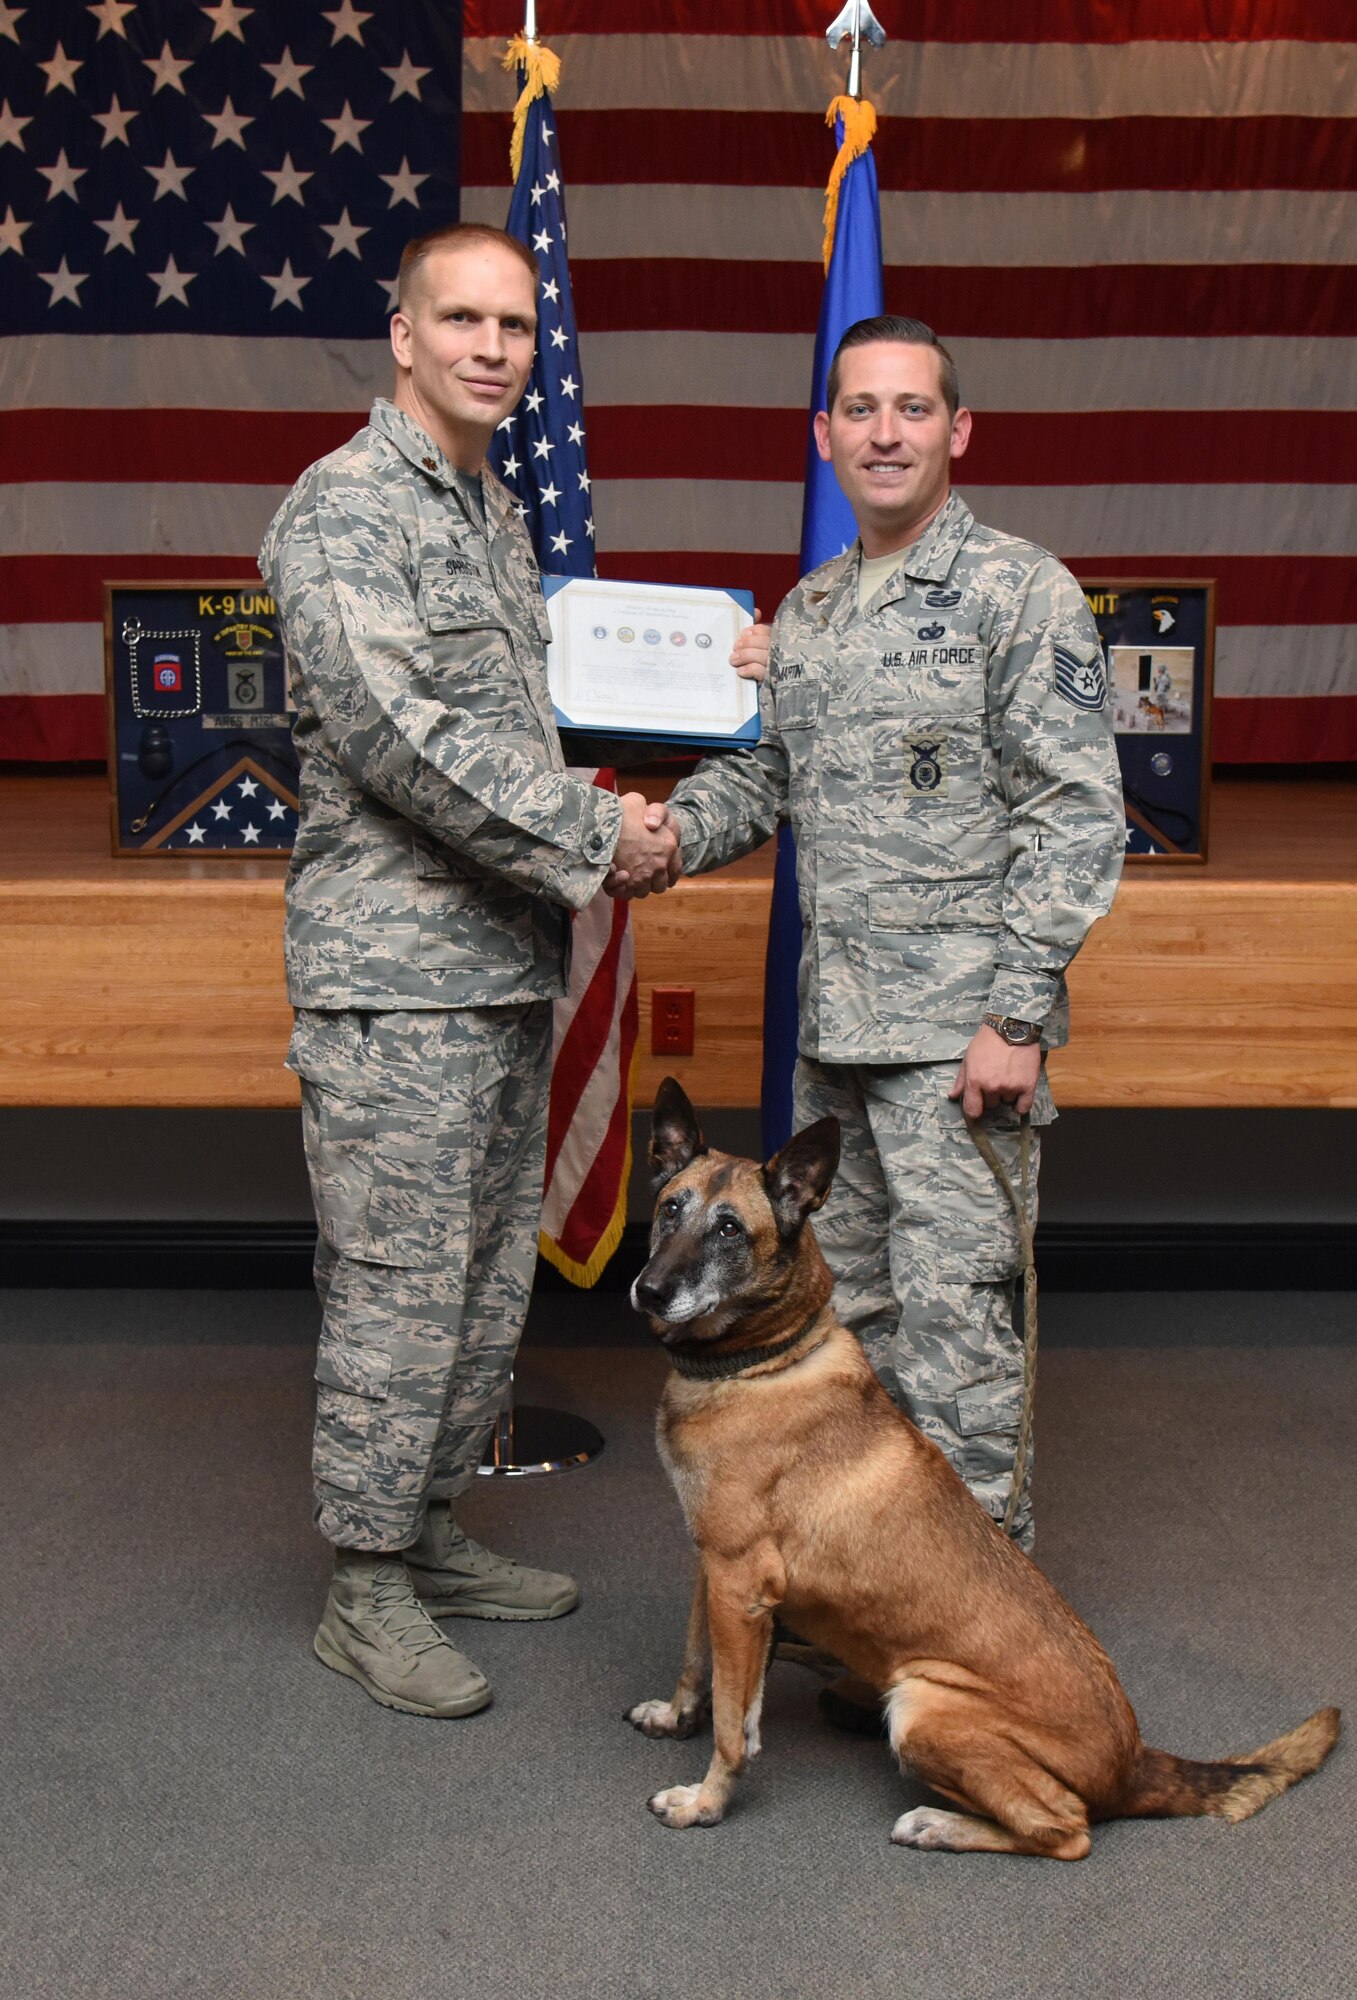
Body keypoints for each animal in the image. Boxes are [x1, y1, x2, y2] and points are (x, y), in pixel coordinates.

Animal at [624, 1080, 1336, 1856]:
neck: (760, 1361)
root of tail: (1134, 1764)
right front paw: (676, 1717)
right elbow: (699, 1665)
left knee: (1066, 1830)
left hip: (921, 1703)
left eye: (729, 1230)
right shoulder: (716, 1573)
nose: (649, 1291)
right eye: (670, 1209)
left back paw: (938, 1825)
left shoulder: (740, 1582)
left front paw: (706, 1802)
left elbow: (733, 1723)